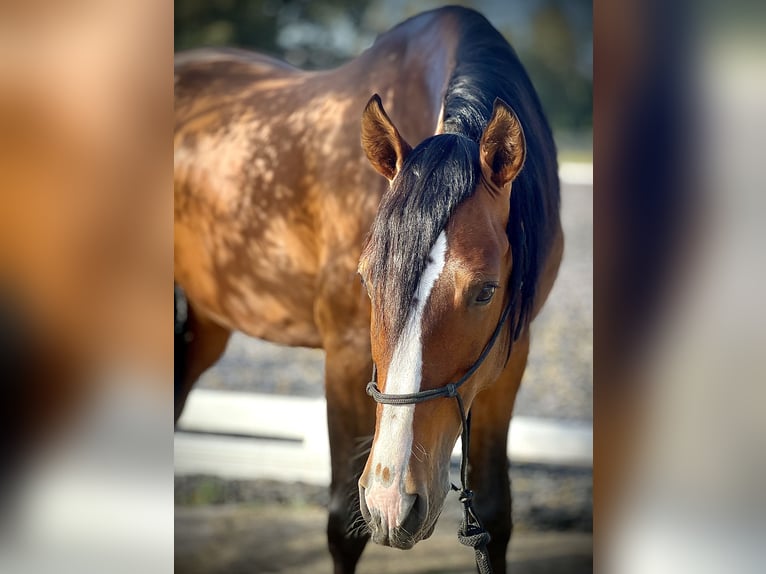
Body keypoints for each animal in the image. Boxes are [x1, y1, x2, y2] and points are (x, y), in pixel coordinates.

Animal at [174, 5, 564, 574]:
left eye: (487, 291)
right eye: (365, 278)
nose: (394, 502)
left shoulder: (510, 359)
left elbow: (494, 517)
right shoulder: (345, 356)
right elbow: (343, 526)